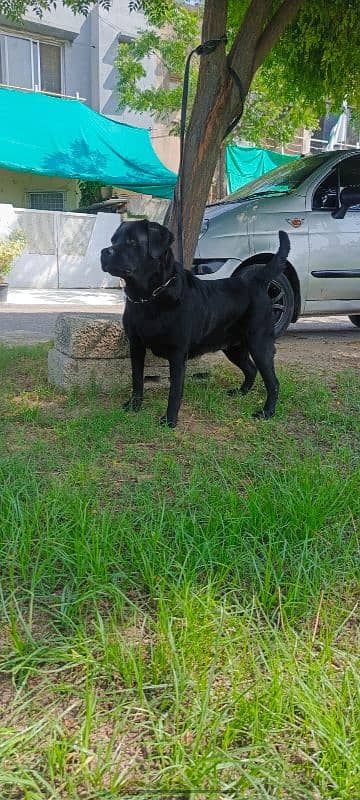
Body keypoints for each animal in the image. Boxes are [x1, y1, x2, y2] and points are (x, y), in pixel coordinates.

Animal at [101, 219, 290, 428]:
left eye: (132, 242)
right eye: (113, 240)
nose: (104, 252)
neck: (149, 297)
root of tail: (256, 281)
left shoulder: (177, 353)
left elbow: (175, 390)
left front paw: (169, 420)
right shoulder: (136, 345)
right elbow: (137, 379)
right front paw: (134, 405)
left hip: (259, 344)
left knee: (273, 382)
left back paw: (267, 412)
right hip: (234, 347)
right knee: (251, 369)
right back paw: (240, 393)